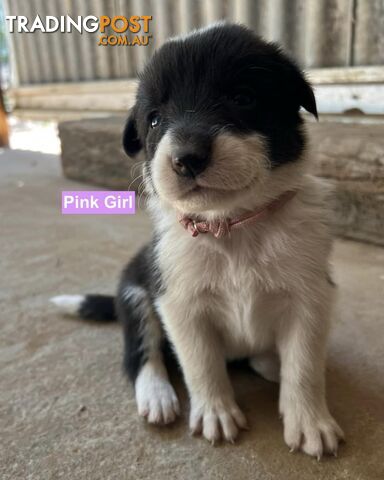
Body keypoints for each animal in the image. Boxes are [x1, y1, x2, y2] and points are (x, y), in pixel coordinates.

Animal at [51, 22, 344, 458]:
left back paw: (268, 362)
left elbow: (304, 366)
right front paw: (216, 413)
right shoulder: (177, 301)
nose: (187, 158)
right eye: (155, 120)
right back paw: (157, 396)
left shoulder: (310, 297)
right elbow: (201, 363)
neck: (233, 225)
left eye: (243, 98)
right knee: (141, 354)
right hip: (134, 292)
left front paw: (310, 422)